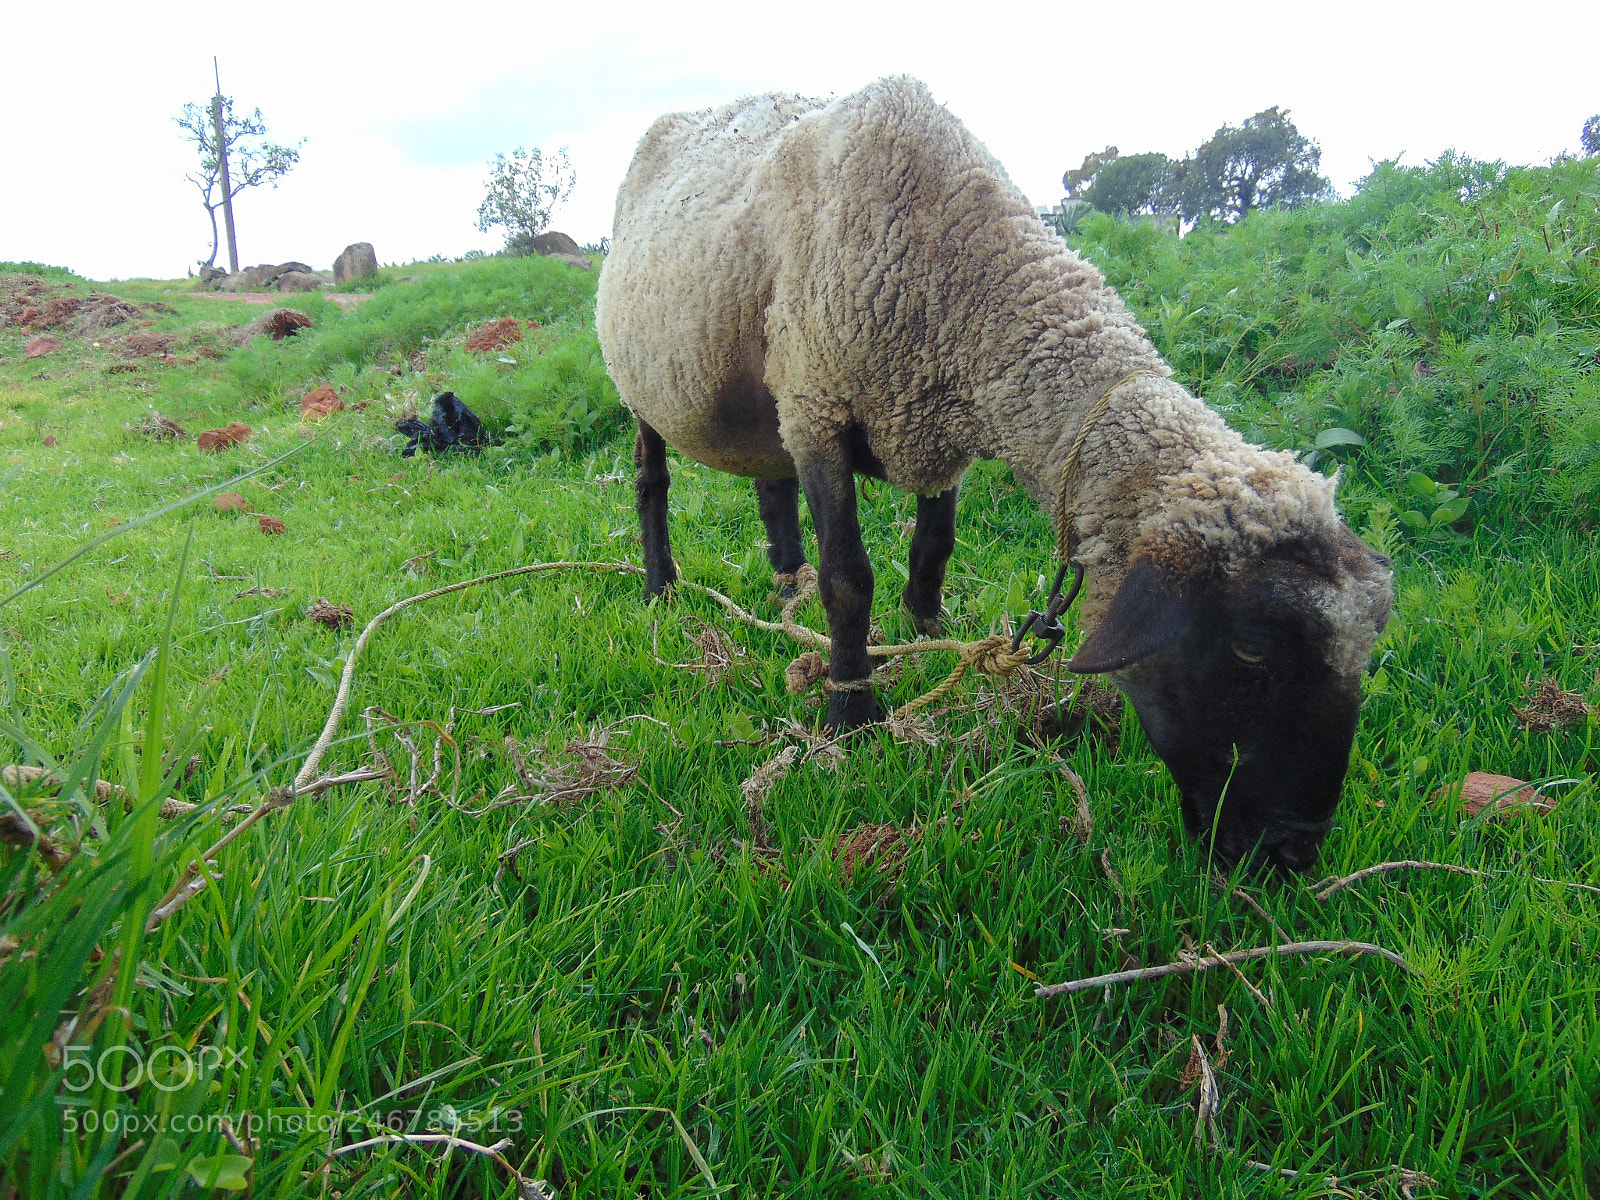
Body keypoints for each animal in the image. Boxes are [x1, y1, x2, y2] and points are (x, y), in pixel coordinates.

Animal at [595, 76, 1393, 873]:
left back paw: (785, 580)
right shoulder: (820, 405)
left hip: (764, 400)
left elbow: (933, 549)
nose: (1292, 852)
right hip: (648, 385)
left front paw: (928, 631)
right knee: (653, 485)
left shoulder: (930, 424)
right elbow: (849, 581)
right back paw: (661, 585)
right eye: (1252, 650)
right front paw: (852, 715)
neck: (957, 265)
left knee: (772, 484)